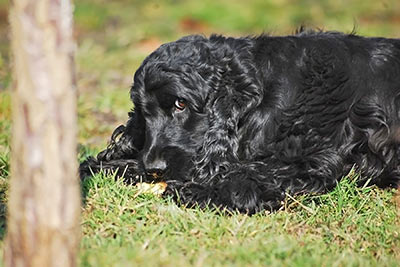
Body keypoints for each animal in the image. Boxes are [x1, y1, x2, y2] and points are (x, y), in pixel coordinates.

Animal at [79, 29, 400, 214]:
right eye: (143, 112)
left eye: (181, 104)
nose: (154, 168)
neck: (265, 92)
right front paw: (99, 166)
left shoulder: (311, 159)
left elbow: (249, 175)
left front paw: (202, 190)